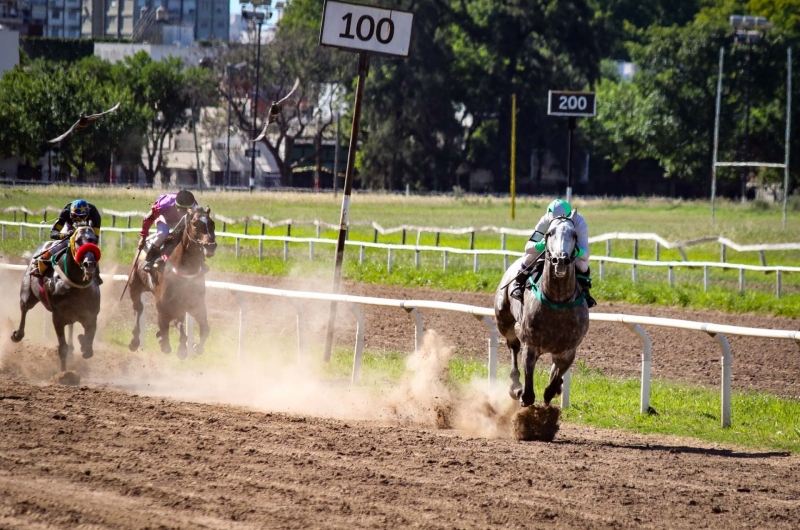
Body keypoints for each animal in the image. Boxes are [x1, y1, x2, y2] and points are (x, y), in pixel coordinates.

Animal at [11, 225, 101, 370]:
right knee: (24, 308)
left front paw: (82, 341)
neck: (75, 286)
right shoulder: (58, 318)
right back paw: (17, 335)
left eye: (94, 240)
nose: (90, 264)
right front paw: (64, 372)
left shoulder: (91, 316)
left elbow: (88, 349)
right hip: (28, 294)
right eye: (78, 240)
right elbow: (62, 348)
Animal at [128, 204, 216, 356]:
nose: (210, 246)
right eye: (195, 224)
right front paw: (164, 342)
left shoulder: (196, 304)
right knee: (138, 309)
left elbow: (205, 329)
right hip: (135, 286)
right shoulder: (162, 305)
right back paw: (135, 341)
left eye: (212, 224)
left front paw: (194, 347)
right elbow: (165, 328)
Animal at [496, 212, 592, 406]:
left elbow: (552, 385)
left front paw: (555, 390)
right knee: (513, 345)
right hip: (503, 320)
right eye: (549, 233)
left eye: (574, 235)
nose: (560, 260)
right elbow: (528, 393)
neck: (558, 301)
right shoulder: (531, 344)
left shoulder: (568, 351)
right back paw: (515, 384)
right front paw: (521, 393)